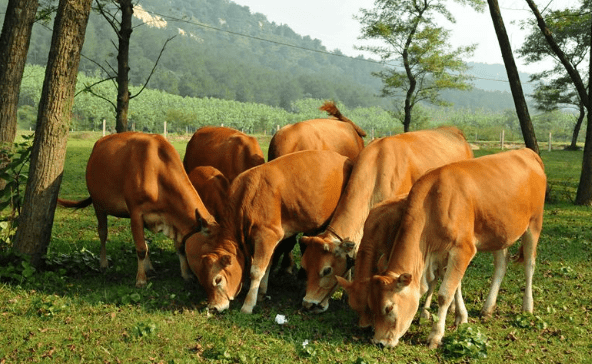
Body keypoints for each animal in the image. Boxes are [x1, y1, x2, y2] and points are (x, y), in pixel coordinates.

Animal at [56, 131, 215, 288]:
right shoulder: (136, 213)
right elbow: (141, 249)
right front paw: (141, 279)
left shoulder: (173, 219)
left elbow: (176, 247)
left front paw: (186, 274)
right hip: (98, 204)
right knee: (102, 233)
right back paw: (103, 263)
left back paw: (149, 267)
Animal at [184, 150, 352, 312]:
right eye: (203, 282)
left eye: (217, 280)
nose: (213, 307)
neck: (247, 198)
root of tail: (344, 158)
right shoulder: (270, 239)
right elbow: (268, 264)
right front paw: (262, 293)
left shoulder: (267, 235)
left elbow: (256, 270)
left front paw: (248, 304)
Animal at [370, 149, 544, 348]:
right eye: (372, 306)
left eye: (389, 307)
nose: (379, 342)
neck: (432, 203)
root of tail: (527, 152)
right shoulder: (446, 253)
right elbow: (456, 286)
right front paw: (461, 317)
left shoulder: (463, 249)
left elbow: (445, 294)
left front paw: (436, 335)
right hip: (499, 232)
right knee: (501, 264)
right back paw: (487, 308)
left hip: (534, 224)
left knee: (529, 265)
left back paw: (527, 307)